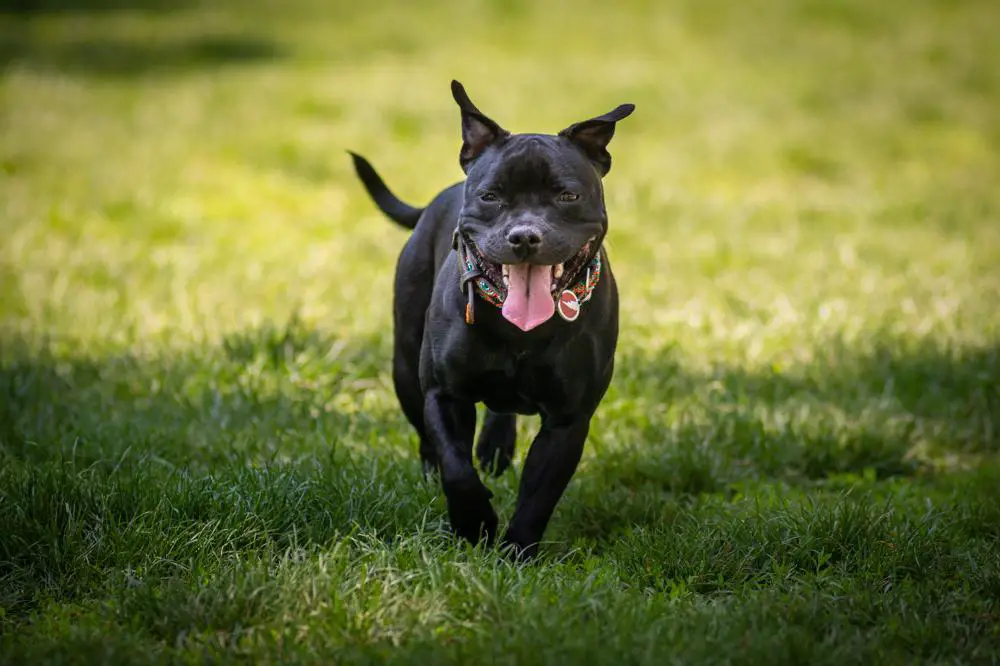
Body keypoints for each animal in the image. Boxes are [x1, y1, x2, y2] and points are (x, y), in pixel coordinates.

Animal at [350, 80, 632, 556]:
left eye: (568, 196)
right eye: (491, 196)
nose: (524, 236)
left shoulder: (568, 420)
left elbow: (539, 495)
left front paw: (516, 553)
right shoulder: (444, 395)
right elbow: (456, 468)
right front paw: (474, 525)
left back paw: (496, 451)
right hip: (405, 367)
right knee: (427, 442)